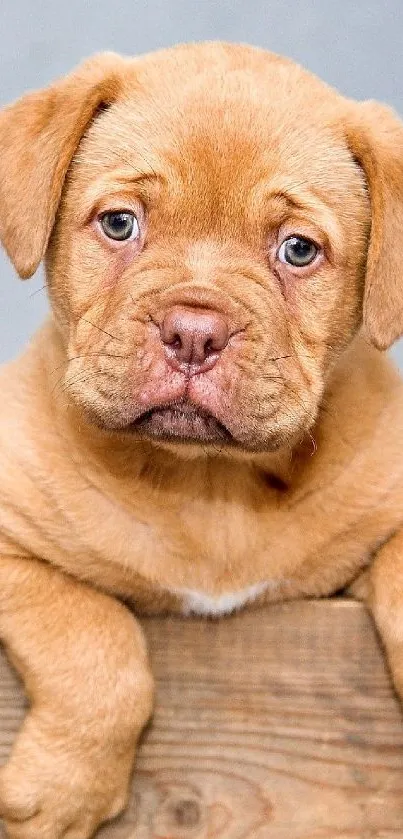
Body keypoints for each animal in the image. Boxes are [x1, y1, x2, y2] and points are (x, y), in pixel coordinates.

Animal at [0, 41, 403, 839]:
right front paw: (65, 790)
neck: (208, 482)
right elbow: (92, 634)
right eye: (119, 224)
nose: (193, 332)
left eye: (298, 250)